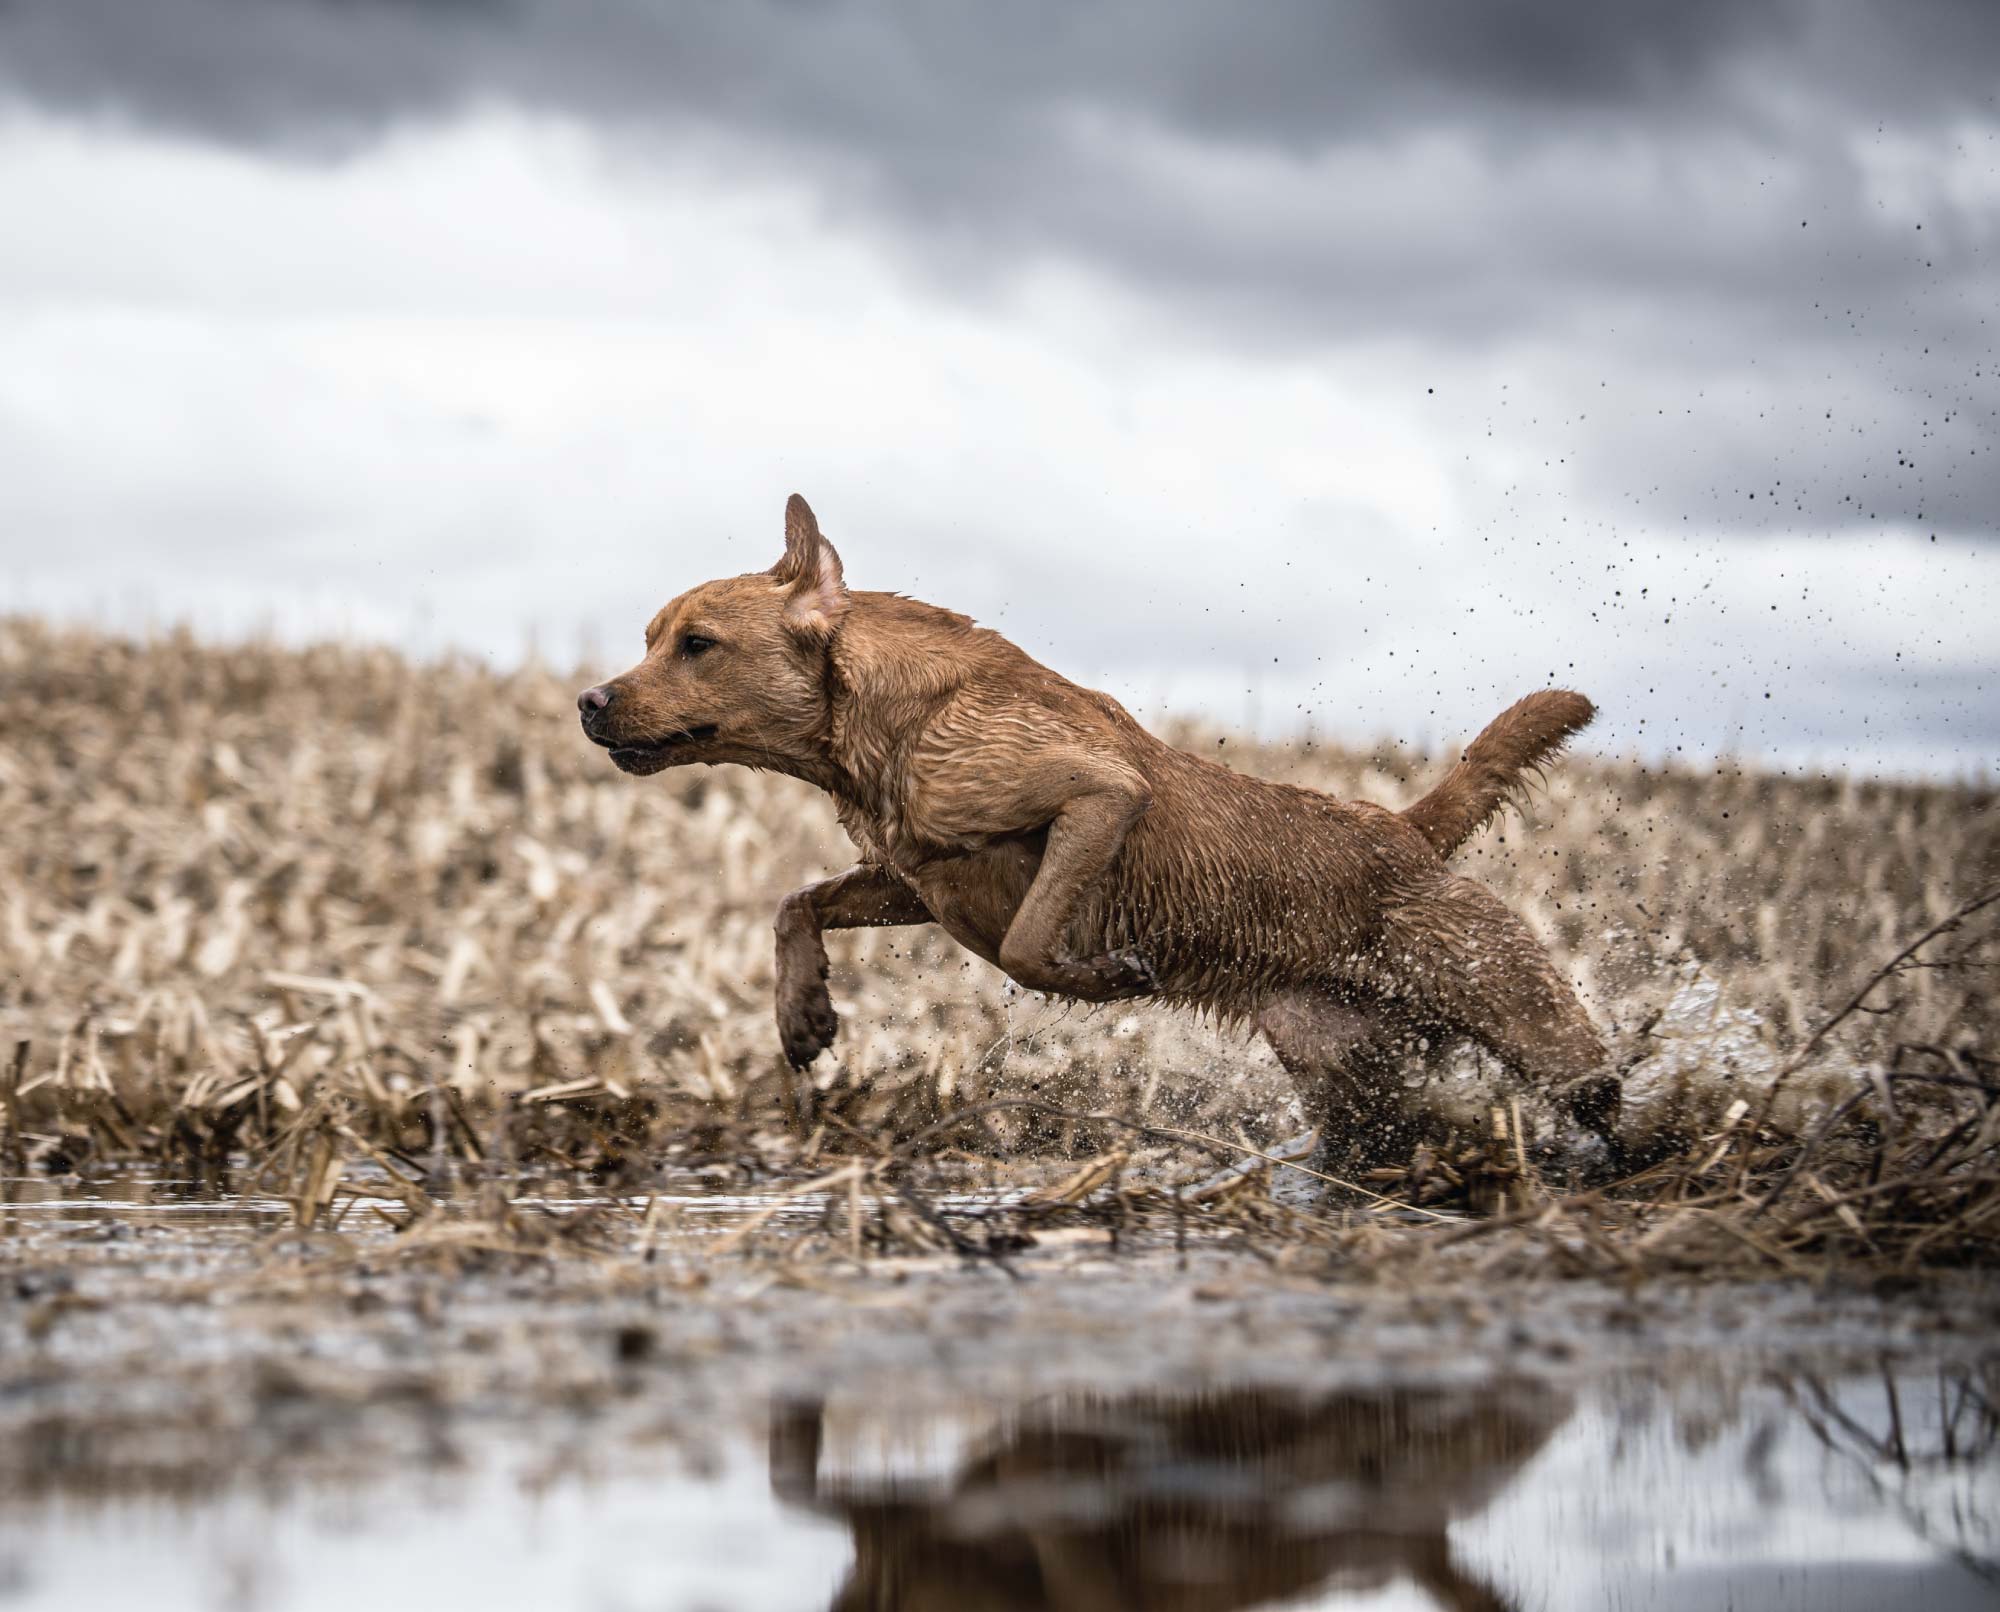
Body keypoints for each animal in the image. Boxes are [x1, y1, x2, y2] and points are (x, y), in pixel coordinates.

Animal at [576, 492, 1608, 1160]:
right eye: (648, 638)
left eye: (697, 644)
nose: (588, 701)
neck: (883, 722)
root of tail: (1408, 830)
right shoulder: (915, 877)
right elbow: (797, 902)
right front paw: (803, 1013)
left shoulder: (1099, 797)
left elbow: (1031, 943)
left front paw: (1106, 977)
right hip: (1344, 1063)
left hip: (1517, 1004)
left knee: (1596, 1087)